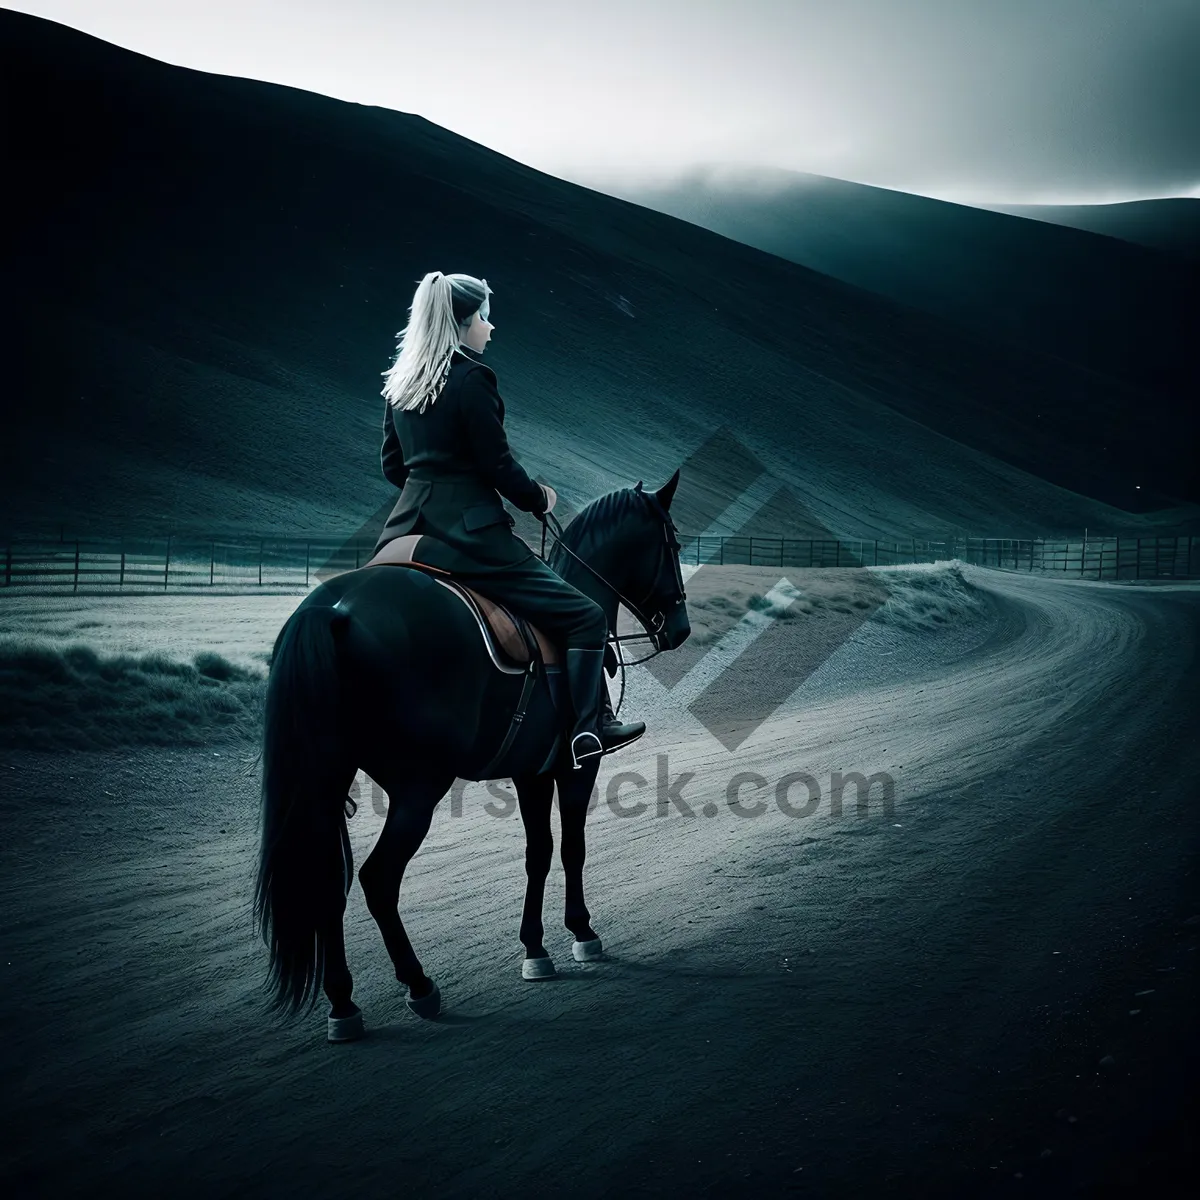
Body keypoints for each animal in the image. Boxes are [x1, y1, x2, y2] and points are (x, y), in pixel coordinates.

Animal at [253, 468, 691, 1041]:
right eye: (673, 544)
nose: (681, 629)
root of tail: (333, 611)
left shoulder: (533, 771)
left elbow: (538, 852)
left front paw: (535, 948)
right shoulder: (577, 765)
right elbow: (572, 846)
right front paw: (581, 933)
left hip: (326, 783)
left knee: (328, 883)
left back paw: (343, 1004)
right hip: (418, 787)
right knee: (378, 879)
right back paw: (419, 985)